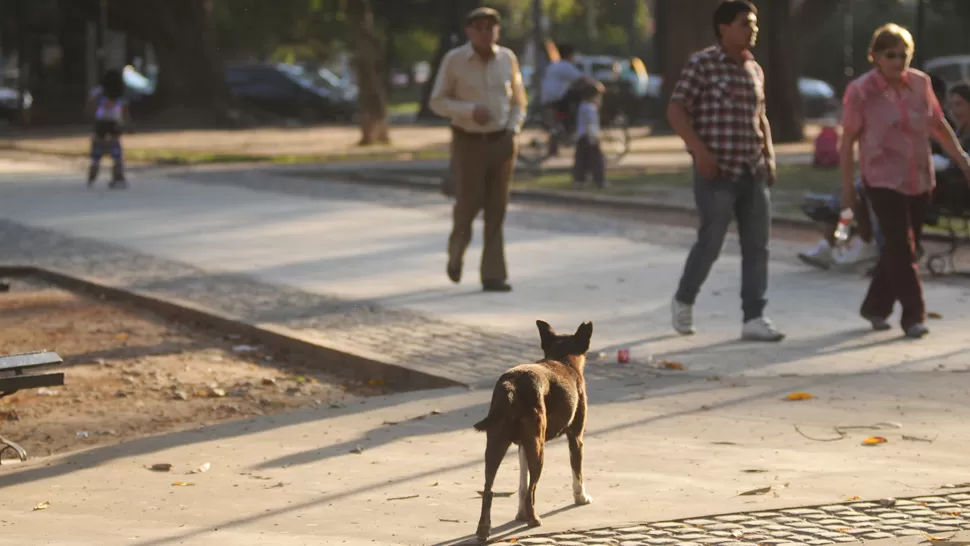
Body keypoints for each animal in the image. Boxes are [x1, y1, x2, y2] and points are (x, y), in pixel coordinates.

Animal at [472, 318, 592, 540]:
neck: (563, 359)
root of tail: (511, 386)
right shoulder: (576, 438)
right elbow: (576, 473)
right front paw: (582, 498)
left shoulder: (522, 446)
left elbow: (522, 483)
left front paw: (520, 514)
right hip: (538, 448)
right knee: (532, 490)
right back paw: (534, 520)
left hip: (496, 445)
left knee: (489, 489)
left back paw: (484, 529)